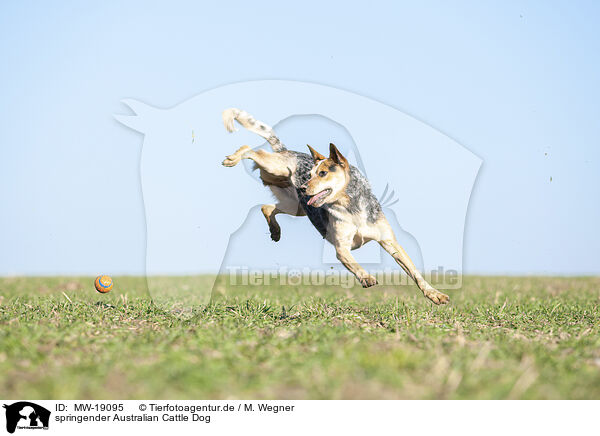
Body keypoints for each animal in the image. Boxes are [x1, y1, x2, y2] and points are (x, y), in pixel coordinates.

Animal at [223, 109, 448, 304]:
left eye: (322, 173)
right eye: (310, 174)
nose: (302, 187)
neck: (351, 206)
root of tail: (287, 150)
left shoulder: (389, 242)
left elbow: (414, 271)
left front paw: (434, 294)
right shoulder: (342, 247)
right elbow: (354, 264)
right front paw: (366, 277)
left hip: (295, 206)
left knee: (268, 207)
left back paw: (275, 231)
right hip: (277, 169)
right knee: (252, 150)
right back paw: (232, 158)